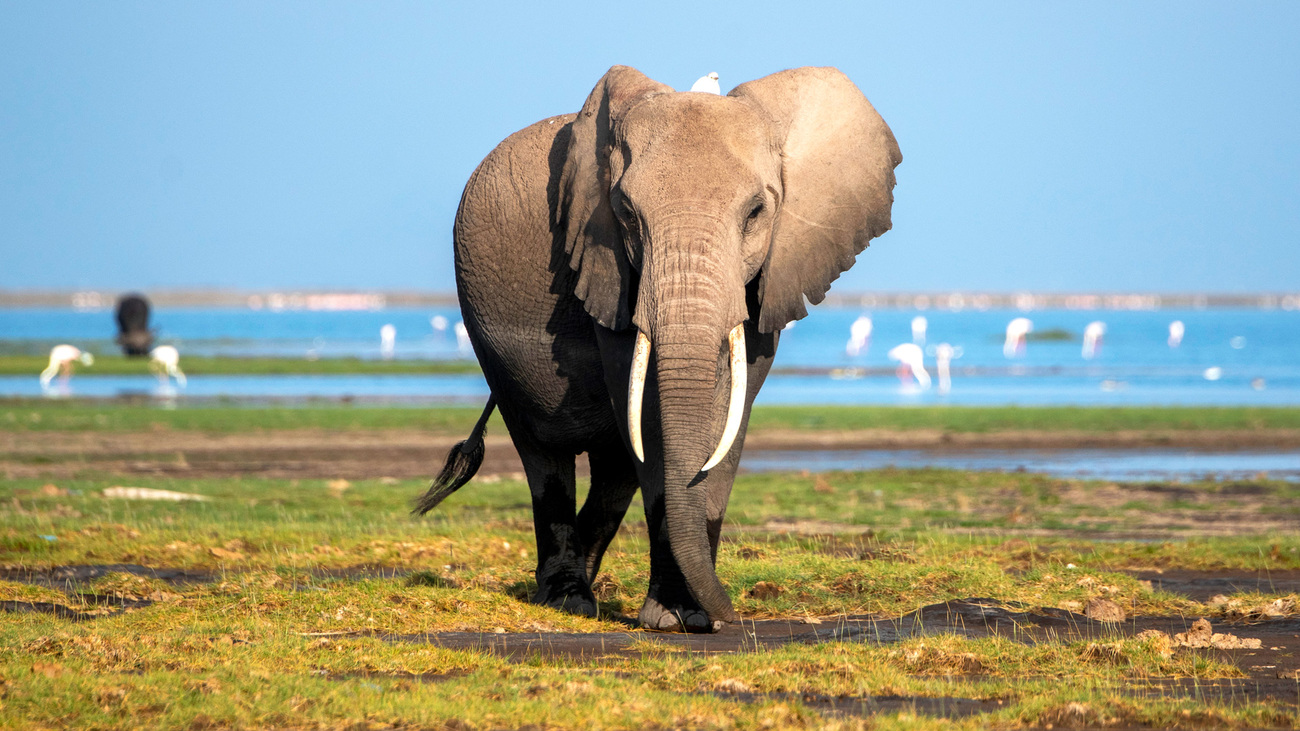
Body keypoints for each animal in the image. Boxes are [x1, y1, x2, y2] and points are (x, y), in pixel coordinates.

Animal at [418, 65, 904, 629]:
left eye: (757, 212)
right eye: (627, 213)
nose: (734, 615)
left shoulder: (773, 272)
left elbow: (730, 415)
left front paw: (690, 616)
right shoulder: (607, 266)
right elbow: (647, 408)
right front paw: (674, 618)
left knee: (614, 468)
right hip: (488, 336)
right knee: (544, 453)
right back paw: (566, 598)